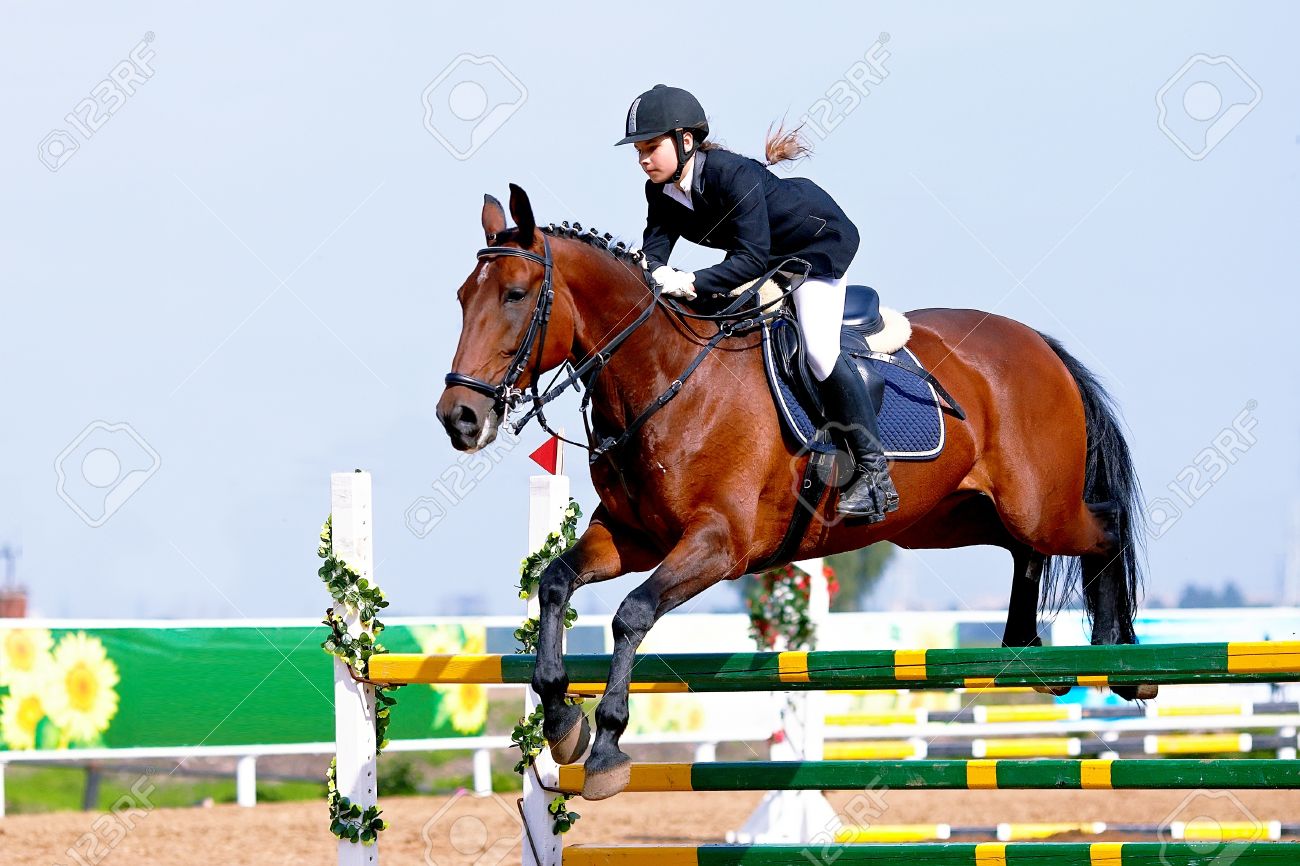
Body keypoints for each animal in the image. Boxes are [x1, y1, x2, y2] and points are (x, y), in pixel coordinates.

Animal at [439, 185, 1149, 800]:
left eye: (515, 295)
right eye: (463, 297)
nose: (459, 419)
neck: (665, 378)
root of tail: (1039, 345)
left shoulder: (717, 545)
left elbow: (631, 614)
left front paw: (608, 745)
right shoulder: (632, 538)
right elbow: (555, 582)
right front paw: (562, 720)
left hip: (1041, 507)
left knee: (1105, 526)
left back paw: (1125, 662)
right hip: (949, 520)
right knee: (1023, 550)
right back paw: (1023, 650)